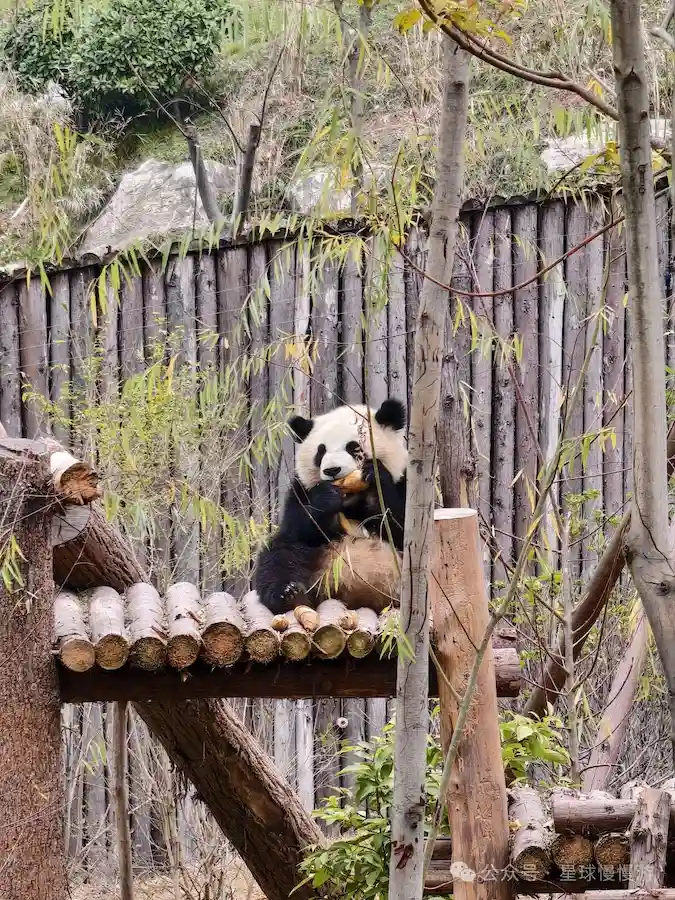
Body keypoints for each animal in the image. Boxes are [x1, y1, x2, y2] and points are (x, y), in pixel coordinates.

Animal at [253, 398, 407, 618]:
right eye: (321, 451)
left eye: (353, 447)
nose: (332, 470)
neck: (350, 498)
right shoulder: (301, 491)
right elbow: (299, 529)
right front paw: (327, 497)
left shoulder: (406, 483)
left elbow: (400, 526)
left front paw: (374, 475)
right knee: (280, 555)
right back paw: (288, 594)